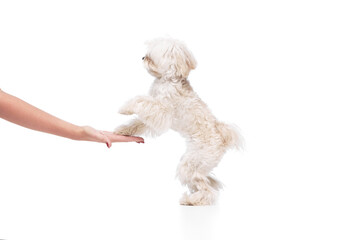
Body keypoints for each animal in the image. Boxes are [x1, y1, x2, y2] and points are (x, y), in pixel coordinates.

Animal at [114, 38, 242, 206]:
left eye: (151, 58)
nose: (142, 58)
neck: (167, 79)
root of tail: (223, 139)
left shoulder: (162, 111)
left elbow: (140, 101)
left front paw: (125, 108)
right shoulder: (154, 114)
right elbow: (138, 122)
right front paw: (122, 130)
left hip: (191, 164)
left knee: (206, 190)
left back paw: (191, 200)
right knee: (207, 182)